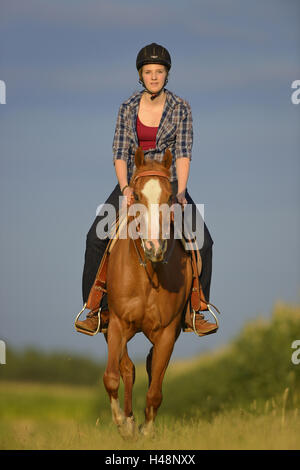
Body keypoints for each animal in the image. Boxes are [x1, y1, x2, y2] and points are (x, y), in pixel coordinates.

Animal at [102, 149, 192, 438]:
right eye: (138, 196)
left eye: (170, 197)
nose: (154, 247)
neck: (147, 274)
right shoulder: (117, 324)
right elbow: (112, 377)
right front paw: (123, 425)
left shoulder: (167, 332)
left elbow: (155, 391)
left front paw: (146, 431)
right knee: (127, 369)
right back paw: (129, 420)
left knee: (150, 368)